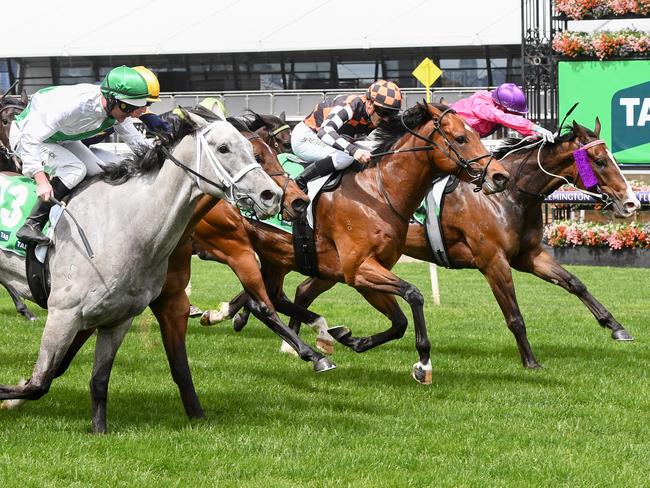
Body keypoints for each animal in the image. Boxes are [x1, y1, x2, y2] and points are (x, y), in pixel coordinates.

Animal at [0, 108, 284, 432]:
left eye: (252, 149)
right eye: (224, 148)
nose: (272, 195)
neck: (126, 224)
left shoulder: (118, 319)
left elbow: (98, 381)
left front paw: (99, 431)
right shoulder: (65, 313)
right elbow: (39, 382)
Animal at [199, 104, 512, 386]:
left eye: (476, 135)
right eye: (460, 139)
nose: (499, 176)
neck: (379, 193)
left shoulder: (364, 273)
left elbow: (399, 323)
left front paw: (350, 338)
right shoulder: (359, 269)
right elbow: (414, 294)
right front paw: (424, 363)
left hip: (276, 256)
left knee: (271, 298)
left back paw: (315, 334)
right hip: (233, 244)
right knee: (261, 301)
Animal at [253, 119, 636, 370]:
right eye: (600, 161)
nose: (631, 202)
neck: (509, 195)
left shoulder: (529, 255)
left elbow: (575, 282)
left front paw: (616, 327)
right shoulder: (493, 260)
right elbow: (514, 315)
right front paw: (530, 361)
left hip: (328, 265)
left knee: (301, 290)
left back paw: (302, 340)